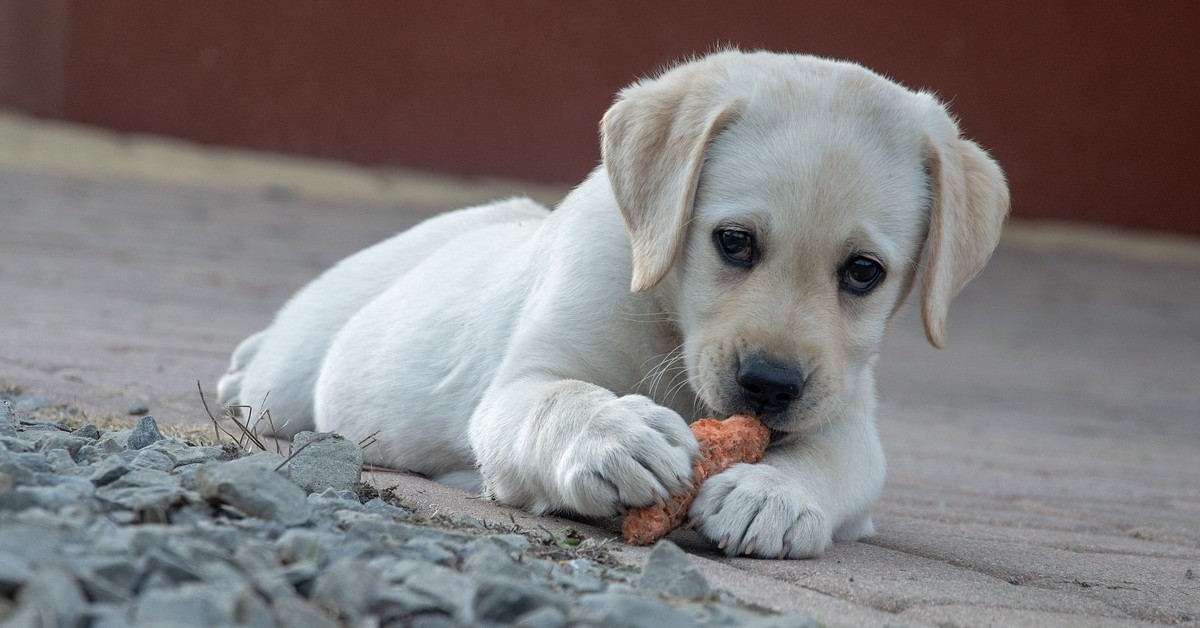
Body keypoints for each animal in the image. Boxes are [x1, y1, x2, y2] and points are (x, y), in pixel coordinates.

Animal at [220, 51, 1008, 557]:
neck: (668, 320)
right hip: (294, 374)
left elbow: (833, 462)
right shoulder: (520, 385)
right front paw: (615, 437)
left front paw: (774, 494)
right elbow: (558, 400)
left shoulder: (847, 416)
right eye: (734, 242)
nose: (770, 385)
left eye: (863, 273)